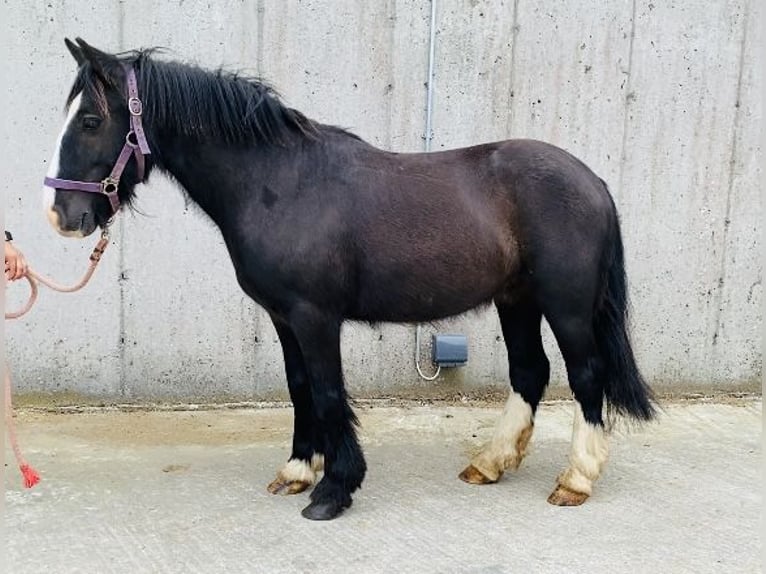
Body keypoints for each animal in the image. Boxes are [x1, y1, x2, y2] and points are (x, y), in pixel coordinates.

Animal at [42, 36, 656, 520]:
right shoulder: (283, 317)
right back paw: (489, 463)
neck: (279, 182)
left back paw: (575, 479)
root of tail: (593, 181)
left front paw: (334, 490)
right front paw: (297, 471)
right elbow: (299, 388)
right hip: (517, 299)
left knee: (586, 375)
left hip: (566, 306)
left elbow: (328, 390)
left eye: (92, 121)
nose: (62, 216)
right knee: (530, 371)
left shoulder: (315, 317)